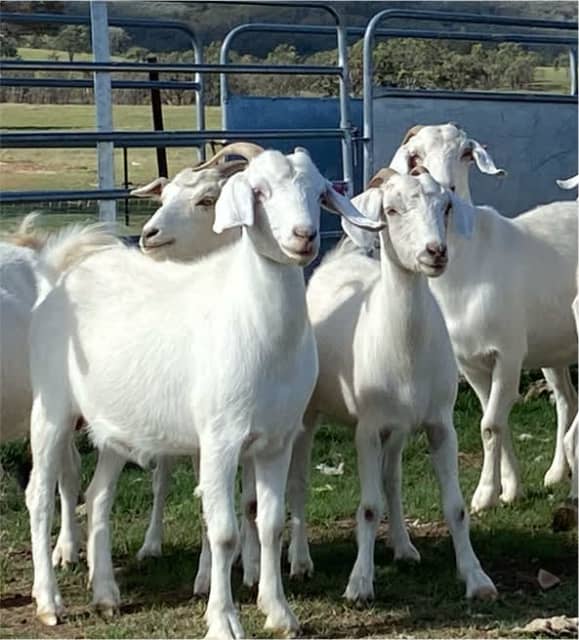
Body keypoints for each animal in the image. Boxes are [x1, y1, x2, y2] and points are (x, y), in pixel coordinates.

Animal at [25, 145, 380, 636]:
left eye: (319, 191)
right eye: (258, 191)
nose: (304, 236)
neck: (255, 323)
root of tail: (65, 275)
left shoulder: (276, 441)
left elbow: (269, 523)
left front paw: (279, 612)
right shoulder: (219, 439)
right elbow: (224, 531)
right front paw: (223, 619)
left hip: (113, 426)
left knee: (97, 496)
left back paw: (107, 595)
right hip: (51, 410)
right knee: (39, 496)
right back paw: (49, 602)